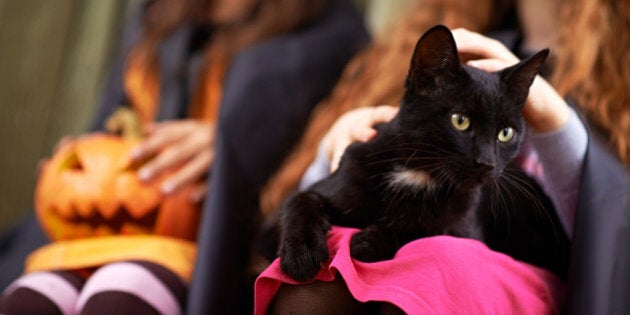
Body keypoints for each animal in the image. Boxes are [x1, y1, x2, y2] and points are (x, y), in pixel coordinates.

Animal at [278, 25, 572, 284]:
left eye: (506, 133)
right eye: (460, 121)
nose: (487, 162)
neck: (419, 172)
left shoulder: (466, 230)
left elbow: (426, 229)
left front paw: (368, 242)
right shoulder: (339, 179)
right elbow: (301, 201)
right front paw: (302, 254)